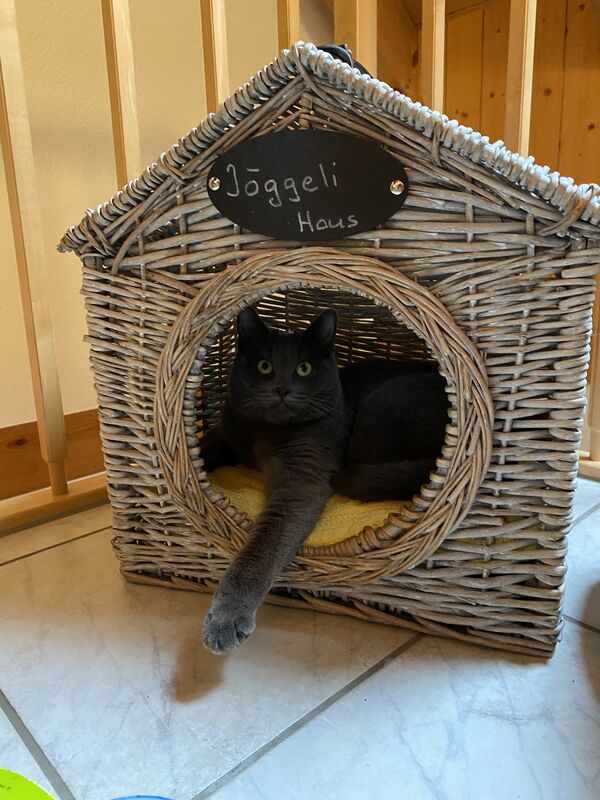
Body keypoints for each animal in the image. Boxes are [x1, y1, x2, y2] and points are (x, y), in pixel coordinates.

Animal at [200, 307, 449, 653]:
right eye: (265, 366)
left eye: (304, 368)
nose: (282, 388)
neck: (263, 433)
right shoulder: (230, 435)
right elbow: (205, 448)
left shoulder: (303, 477)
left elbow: (264, 545)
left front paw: (225, 619)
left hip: (382, 408)